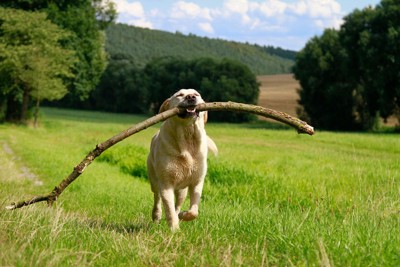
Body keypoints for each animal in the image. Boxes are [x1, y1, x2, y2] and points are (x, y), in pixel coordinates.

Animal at [147, 89, 217, 231]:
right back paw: (156, 215)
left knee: (177, 204)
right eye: (179, 95)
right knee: (157, 197)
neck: (187, 136)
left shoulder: (197, 181)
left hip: (182, 191)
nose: (191, 97)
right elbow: (168, 209)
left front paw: (183, 215)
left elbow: (194, 211)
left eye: (197, 94)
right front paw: (174, 229)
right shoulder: (166, 184)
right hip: (154, 180)